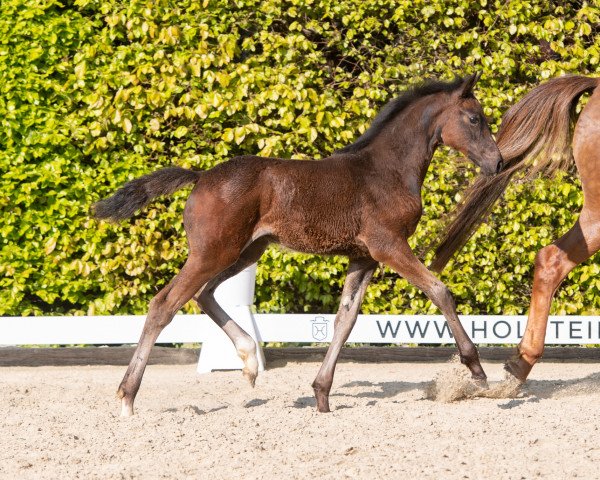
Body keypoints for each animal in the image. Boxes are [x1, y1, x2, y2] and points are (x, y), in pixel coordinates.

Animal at [94, 73, 504, 414]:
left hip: (245, 251)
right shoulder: (389, 246)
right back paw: (128, 397)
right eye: (474, 119)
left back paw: (249, 360)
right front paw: (477, 370)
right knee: (164, 304)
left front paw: (321, 396)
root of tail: (201, 176)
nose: (498, 163)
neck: (386, 170)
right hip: (214, 252)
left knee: (203, 294)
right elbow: (440, 291)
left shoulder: (363, 257)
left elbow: (345, 319)